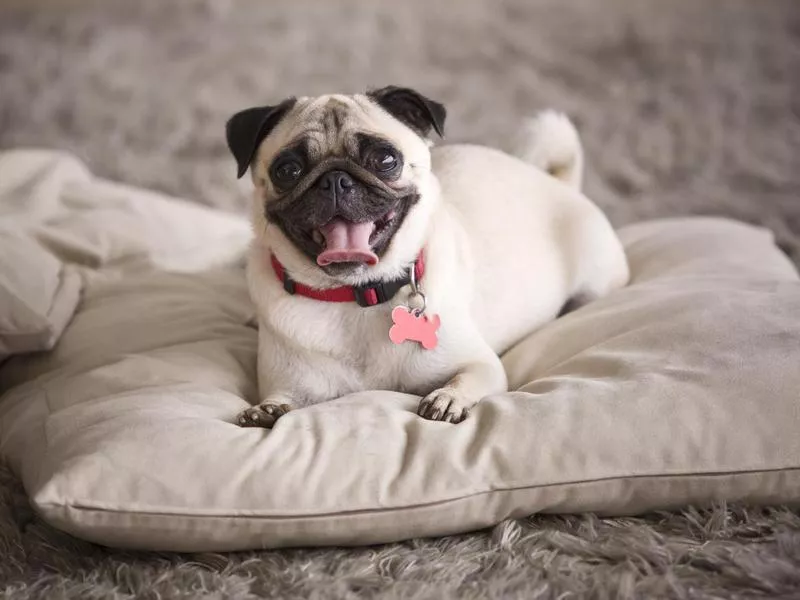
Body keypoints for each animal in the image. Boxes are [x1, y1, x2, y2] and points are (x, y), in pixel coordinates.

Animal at [223, 88, 624, 426]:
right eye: (287, 170)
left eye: (385, 159)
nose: (335, 179)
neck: (357, 295)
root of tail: (559, 183)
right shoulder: (292, 384)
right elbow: (281, 399)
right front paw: (266, 410)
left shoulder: (481, 365)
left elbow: (468, 378)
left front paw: (448, 398)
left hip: (597, 283)